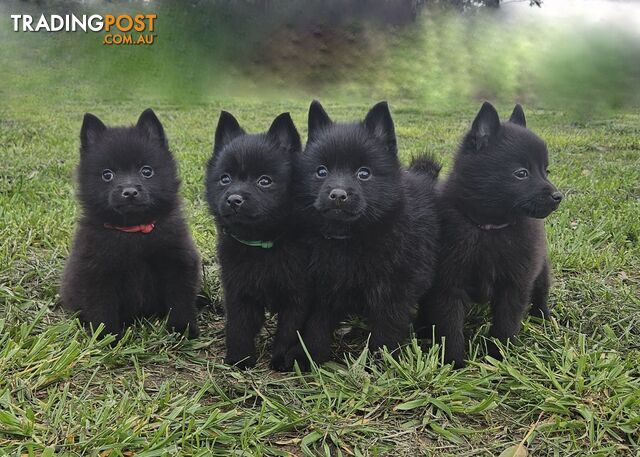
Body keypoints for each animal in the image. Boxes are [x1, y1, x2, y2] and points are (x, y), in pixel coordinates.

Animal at [60, 108, 200, 336]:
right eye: (107, 175)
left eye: (146, 171)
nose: (130, 191)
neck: (132, 231)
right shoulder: (96, 272)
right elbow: (101, 308)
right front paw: (106, 336)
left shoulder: (179, 261)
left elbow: (180, 299)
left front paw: (183, 329)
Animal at [204, 110, 306, 370]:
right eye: (225, 179)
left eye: (264, 181)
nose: (234, 199)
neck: (263, 244)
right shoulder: (238, 290)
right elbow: (238, 326)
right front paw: (240, 359)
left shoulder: (298, 294)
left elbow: (289, 329)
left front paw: (281, 359)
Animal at [284, 100, 440, 370]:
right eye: (321, 172)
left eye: (364, 173)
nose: (337, 194)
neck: (351, 239)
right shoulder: (324, 284)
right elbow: (316, 324)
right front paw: (309, 356)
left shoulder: (393, 289)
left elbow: (387, 327)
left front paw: (381, 362)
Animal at [416, 101, 560, 366]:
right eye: (521, 173)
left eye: (546, 171)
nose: (558, 196)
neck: (489, 228)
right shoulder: (447, 285)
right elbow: (450, 327)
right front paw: (454, 363)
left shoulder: (514, 284)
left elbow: (506, 323)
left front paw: (498, 357)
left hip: (541, 267)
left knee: (541, 290)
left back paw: (542, 316)